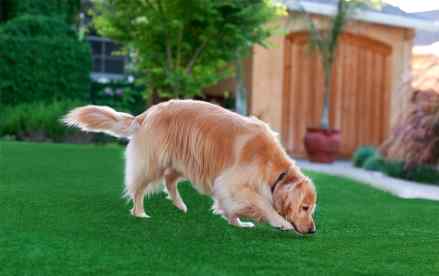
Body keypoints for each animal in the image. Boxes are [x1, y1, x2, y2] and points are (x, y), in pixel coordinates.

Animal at [63, 100, 318, 234]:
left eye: (311, 209)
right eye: (304, 207)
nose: (313, 230)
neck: (274, 167)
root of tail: (148, 113)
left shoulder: (227, 186)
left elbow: (233, 206)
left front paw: (238, 222)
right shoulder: (231, 182)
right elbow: (261, 203)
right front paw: (280, 222)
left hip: (183, 162)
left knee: (169, 181)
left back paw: (180, 205)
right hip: (153, 163)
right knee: (138, 189)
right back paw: (140, 213)